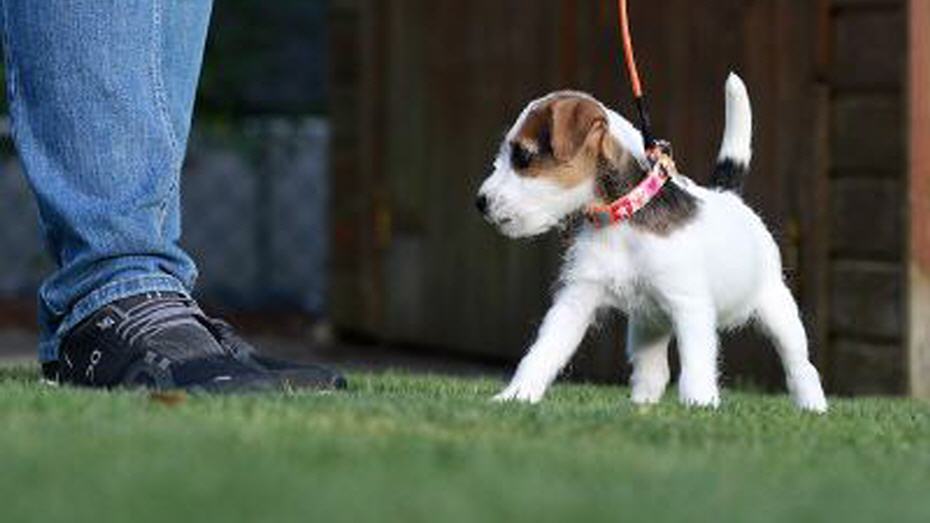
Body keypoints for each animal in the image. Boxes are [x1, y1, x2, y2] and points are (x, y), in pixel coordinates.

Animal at [475, 74, 827, 412]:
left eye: (523, 156)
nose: (480, 202)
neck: (623, 219)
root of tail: (728, 195)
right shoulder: (576, 301)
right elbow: (542, 353)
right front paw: (515, 396)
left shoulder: (689, 306)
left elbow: (696, 365)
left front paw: (700, 405)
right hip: (648, 326)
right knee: (653, 372)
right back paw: (641, 408)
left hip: (778, 309)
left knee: (801, 366)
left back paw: (814, 407)